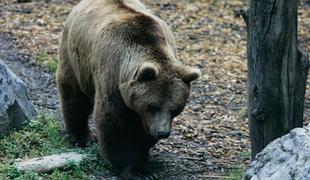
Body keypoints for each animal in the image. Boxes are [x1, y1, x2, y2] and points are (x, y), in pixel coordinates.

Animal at [56, 0, 200, 178]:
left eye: (175, 109)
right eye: (152, 106)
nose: (163, 132)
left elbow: (143, 132)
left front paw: (144, 161)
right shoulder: (112, 77)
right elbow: (115, 123)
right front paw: (136, 171)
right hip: (75, 56)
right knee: (74, 95)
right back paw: (82, 137)